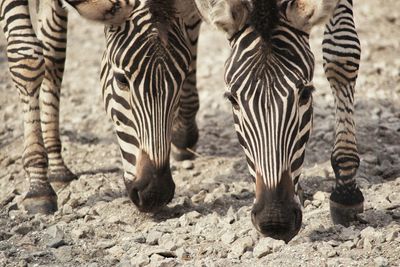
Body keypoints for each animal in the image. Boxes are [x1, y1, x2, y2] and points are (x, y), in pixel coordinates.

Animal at [0, 0, 200, 214]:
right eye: (121, 79)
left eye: (182, 79)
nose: (155, 194)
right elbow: (27, 59)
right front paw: (38, 187)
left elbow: (53, 57)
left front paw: (54, 168)